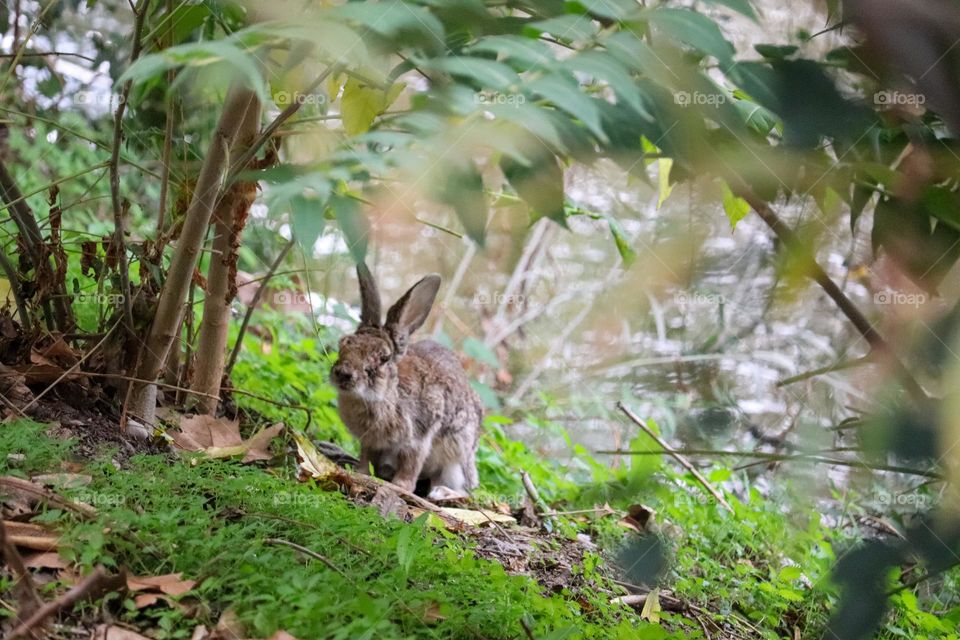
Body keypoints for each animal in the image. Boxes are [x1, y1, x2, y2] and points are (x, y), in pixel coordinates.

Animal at [331, 262, 481, 499]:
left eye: (384, 358)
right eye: (343, 343)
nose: (344, 374)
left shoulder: (420, 435)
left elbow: (412, 463)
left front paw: (401, 486)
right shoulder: (370, 441)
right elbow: (366, 455)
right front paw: (361, 472)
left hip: (457, 458)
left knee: (464, 490)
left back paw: (440, 492)